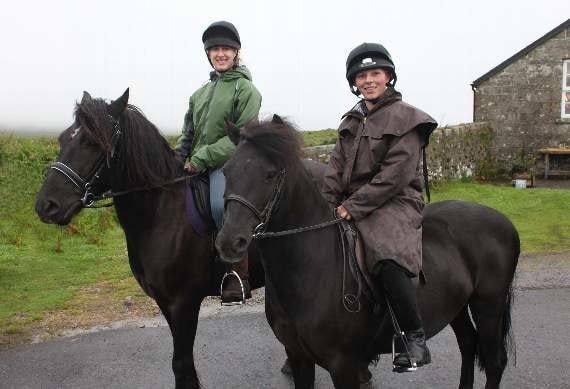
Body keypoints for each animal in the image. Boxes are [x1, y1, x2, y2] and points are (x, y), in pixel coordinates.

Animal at [33, 88, 266, 388]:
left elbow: (181, 364)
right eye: (63, 138)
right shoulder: (164, 302)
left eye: (91, 142)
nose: (46, 206)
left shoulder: (183, 303)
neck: (162, 214)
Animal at [215, 117, 516, 388]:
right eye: (227, 171)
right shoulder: (299, 357)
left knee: (493, 362)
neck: (313, 268)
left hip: (488, 306)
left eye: (271, 174)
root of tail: (502, 219)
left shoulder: (343, 365)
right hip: (458, 307)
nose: (229, 241)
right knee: (468, 346)